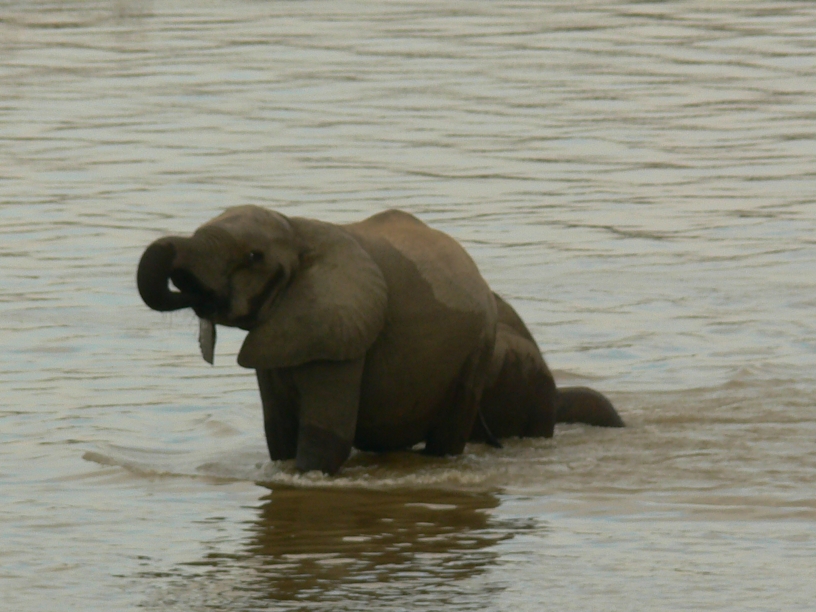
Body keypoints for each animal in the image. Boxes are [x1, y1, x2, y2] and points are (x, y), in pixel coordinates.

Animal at [137, 206, 623, 475]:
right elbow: (278, 433)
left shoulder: (343, 332)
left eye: (253, 256)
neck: (297, 228)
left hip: (475, 354)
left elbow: (325, 442)